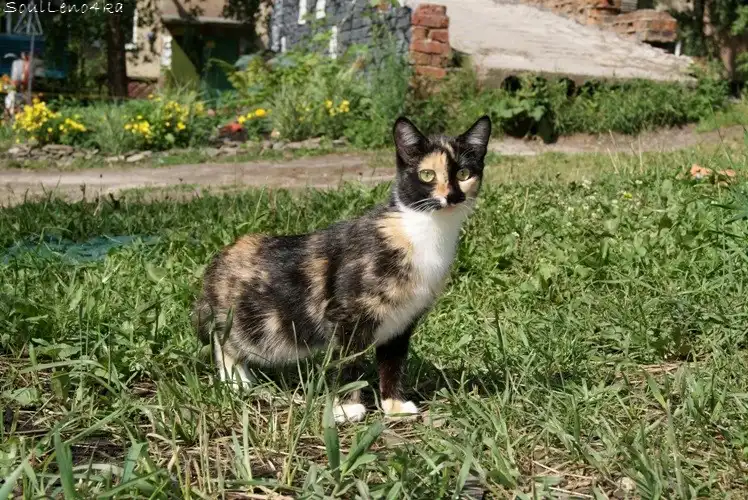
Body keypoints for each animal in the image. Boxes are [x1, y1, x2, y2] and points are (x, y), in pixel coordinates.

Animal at [193, 115, 492, 423]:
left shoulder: (403, 320)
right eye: (427, 175)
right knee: (223, 340)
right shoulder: (346, 313)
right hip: (249, 322)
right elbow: (347, 359)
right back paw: (236, 381)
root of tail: (216, 262)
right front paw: (348, 408)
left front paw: (394, 405)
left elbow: (393, 362)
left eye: (464, 173)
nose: (452, 197)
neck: (422, 231)